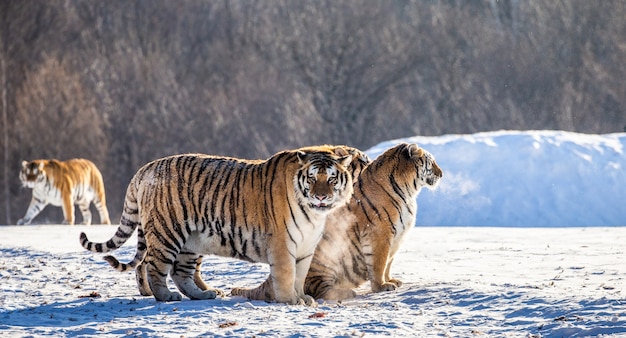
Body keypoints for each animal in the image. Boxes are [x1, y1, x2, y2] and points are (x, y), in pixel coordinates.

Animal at [80, 145, 368, 304]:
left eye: (332, 179)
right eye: (312, 178)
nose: (321, 197)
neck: (314, 215)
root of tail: (146, 168)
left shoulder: (305, 248)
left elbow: (300, 275)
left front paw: (302, 297)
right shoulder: (282, 244)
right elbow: (287, 275)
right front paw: (290, 300)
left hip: (190, 241)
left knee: (181, 273)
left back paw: (202, 295)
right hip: (167, 232)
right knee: (154, 266)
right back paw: (164, 296)